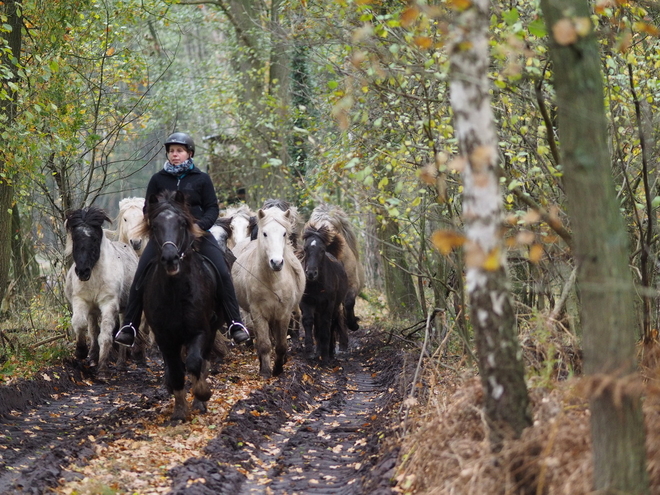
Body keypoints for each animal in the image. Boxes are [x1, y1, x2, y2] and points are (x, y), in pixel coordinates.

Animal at [64, 205, 139, 380]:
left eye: (94, 239)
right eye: (75, 239)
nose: (82, 272)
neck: (95, 276)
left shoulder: (109, 303)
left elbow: (105, 335)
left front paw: (103, 369)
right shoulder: (81, 300)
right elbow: (80, 323)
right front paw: (81, 352)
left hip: (124, 309)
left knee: (120, 330)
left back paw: (120, 364)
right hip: (92, 309)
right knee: (92, 329)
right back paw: (92, 357)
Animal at [139, 191, 222, 422]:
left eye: (183, 223)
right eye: (154, 225)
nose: (170, 258)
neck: (176, 293)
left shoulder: (200, 330)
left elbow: (195, 363)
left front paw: (203, 395)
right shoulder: (164, 337)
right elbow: (177, 371)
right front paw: (179, 412)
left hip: (213, 328)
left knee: (203, 361)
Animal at [231, 207, 306, 378]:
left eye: (284, 233)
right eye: (264, 233)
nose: (276, 262)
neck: (272, 282)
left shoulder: (284, 314)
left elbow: (281, 344)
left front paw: (278, 369)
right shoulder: (258, 313)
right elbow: (265, 344)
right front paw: (265, 371)